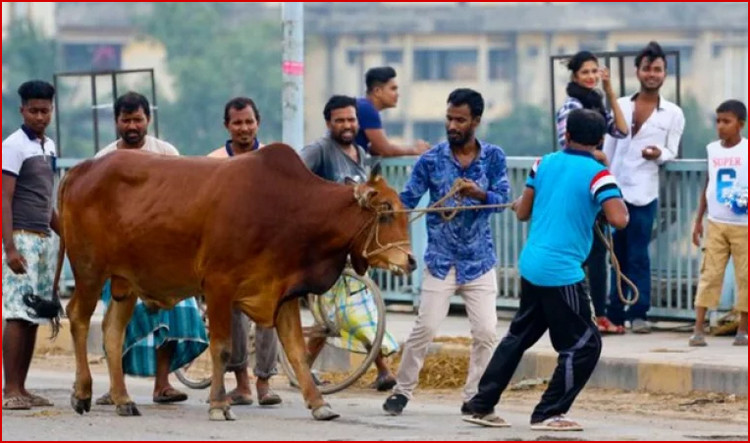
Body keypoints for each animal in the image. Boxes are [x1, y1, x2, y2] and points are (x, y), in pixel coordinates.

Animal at [53, 144, 418, 422]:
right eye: (386, 211)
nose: (410, 261)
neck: (291, 208)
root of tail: (83, 169)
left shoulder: (281, 293)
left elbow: (297, 353)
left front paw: (319, 404)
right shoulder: (218, 286)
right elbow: (222, 348)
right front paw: (218, 404)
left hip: (123, 283)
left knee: (113, 333)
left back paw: (123, 400)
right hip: (89, 271)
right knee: (78, 318)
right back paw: (82, 393)